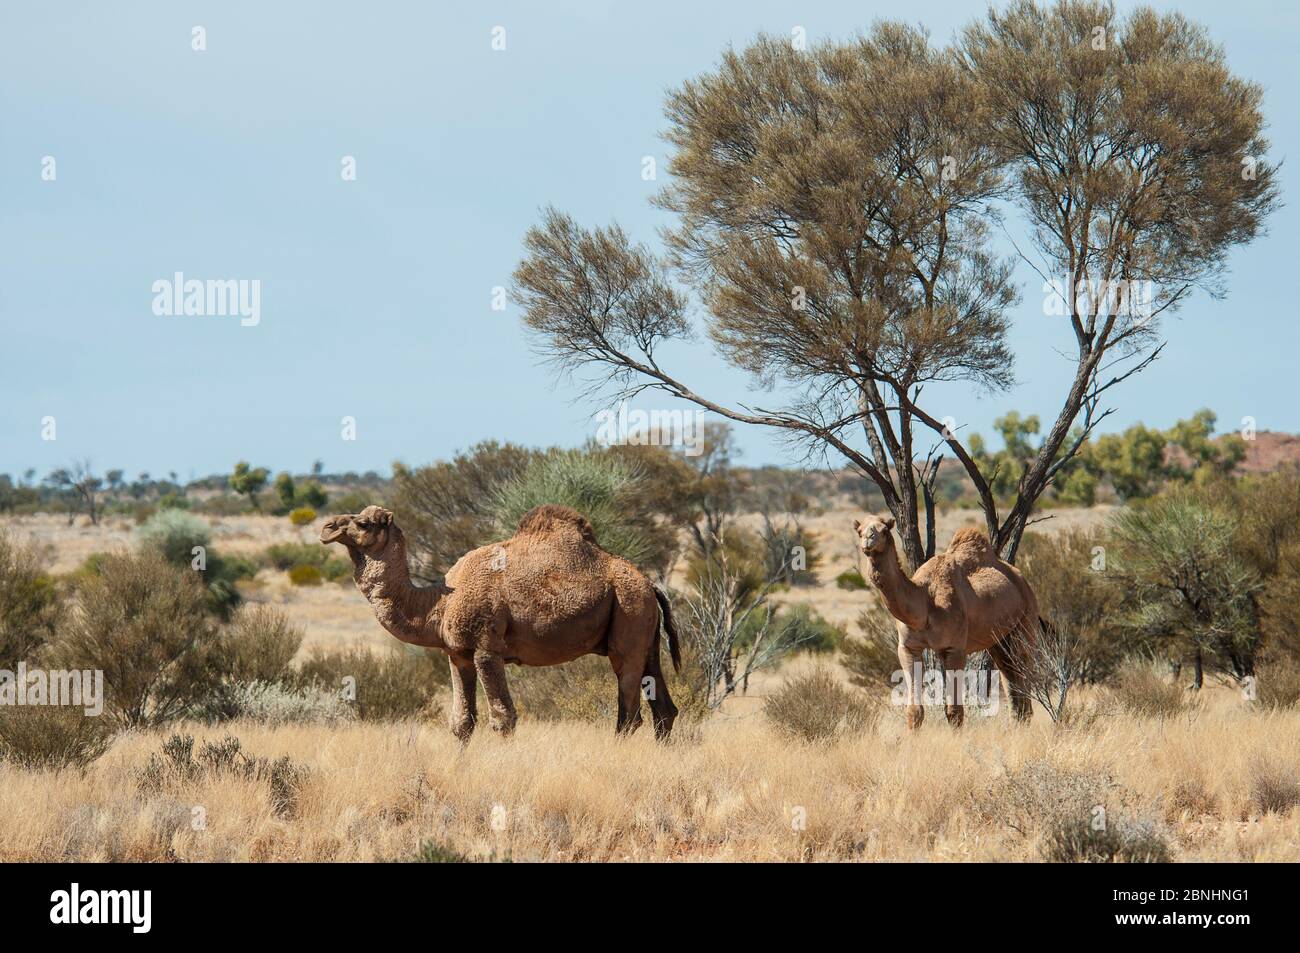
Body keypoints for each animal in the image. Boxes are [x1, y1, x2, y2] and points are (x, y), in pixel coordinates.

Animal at [319, 501, 681, 738]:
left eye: (364, 523)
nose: (327, 527)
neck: (441, 602)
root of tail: (649, 583)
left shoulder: (486, 650)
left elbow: (503, 718)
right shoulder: (457, 655)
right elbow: (462, 723)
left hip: (629, 616)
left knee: (629, 714)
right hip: (645, 634)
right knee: (663, 709)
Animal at [847, 512, 1040, 728]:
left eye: (884, 530)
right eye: (859, 530)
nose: (868, 540)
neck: (925, 601)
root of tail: (1022, 579)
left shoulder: (954, 648)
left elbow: (954, 712)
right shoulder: (907, 647)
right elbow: (914, 711)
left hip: (1026, 620)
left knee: (1023, 666)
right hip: (999, 641)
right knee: (1011, 678)